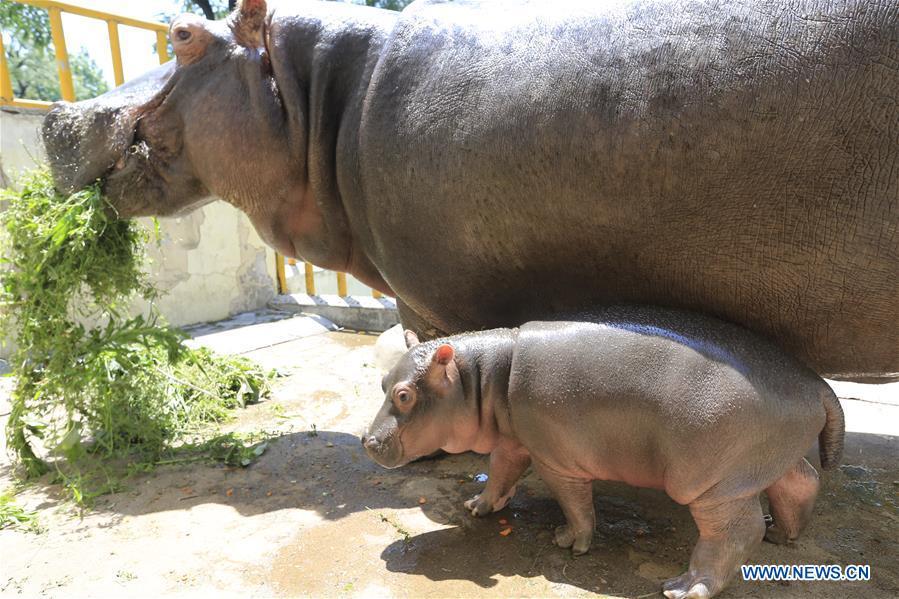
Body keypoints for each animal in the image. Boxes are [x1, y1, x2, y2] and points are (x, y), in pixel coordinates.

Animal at [363, 307, 845, 598]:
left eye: (404, 395)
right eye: (383, 382)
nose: (367, 441)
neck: (482, 376)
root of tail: (818, 385)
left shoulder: (555, 458)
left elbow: (574, 503)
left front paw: (568, 542)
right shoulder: (515, 441)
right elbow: (500, 471)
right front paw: (477, 506)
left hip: (711, 483)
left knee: (737, 532)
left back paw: (686, 587)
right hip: (765, 459)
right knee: (801, 479)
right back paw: (786, 533)